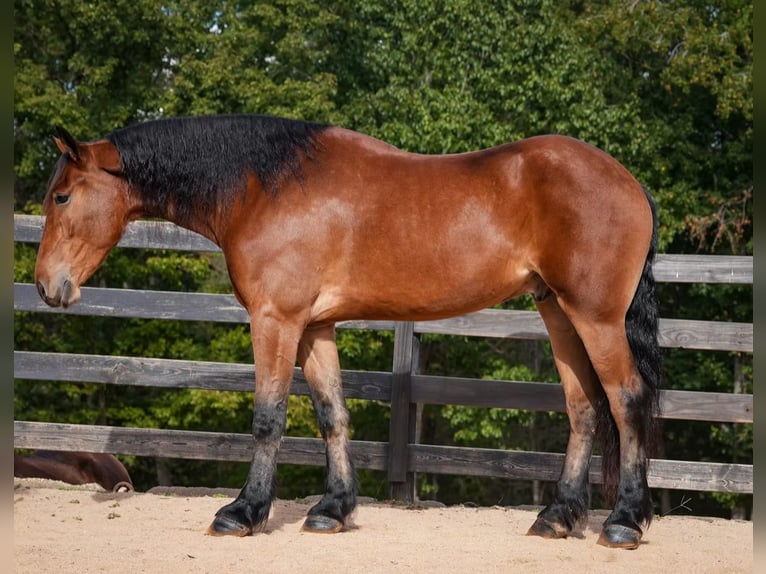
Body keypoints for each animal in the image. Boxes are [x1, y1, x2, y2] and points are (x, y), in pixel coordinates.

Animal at [34, 114, 660, 549]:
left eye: (62, 195)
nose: (46, 285)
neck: (264, 188)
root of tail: (628, 182)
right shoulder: (315, 326)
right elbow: (332, 414)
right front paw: (331, 510)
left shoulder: (276, 320)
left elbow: (268, 419)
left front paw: (243, 512)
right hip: (558, 312)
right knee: (583, 407)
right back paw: (557, 517)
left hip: (595, 318)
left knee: (627, 400)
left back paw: (624, 521)